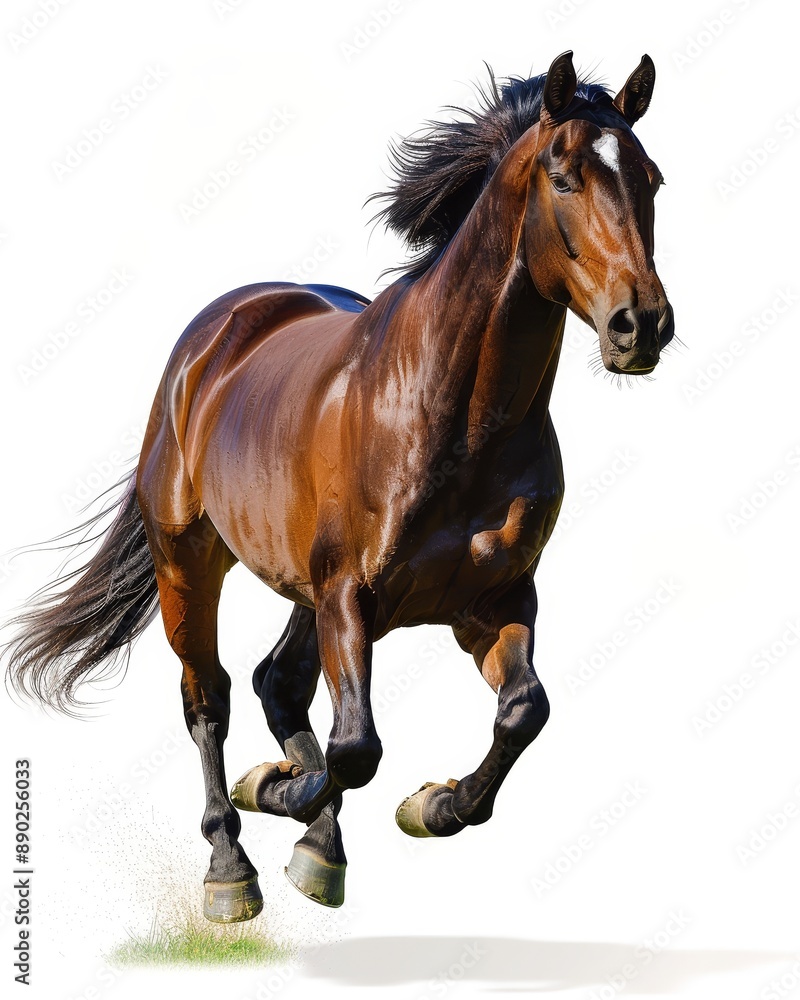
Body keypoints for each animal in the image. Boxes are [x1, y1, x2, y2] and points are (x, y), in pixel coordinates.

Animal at [4, 51, 674, 922]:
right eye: (564, 179)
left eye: (652, 180)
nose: (642, 325)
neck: (455, 418)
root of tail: (214, 336)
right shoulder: (352, 593)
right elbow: (355, 748)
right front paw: (287, 799)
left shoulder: (492, 600)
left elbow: (524, 711)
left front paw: (431, 805)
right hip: (190, 563)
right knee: (209, 697)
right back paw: (234, 862)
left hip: (305, 587)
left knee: (277, 683)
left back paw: (310, 832)